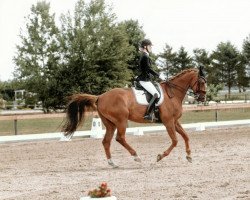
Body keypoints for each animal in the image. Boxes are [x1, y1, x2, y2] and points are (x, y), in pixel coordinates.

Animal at [61, 67, 206, 167]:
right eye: (201, 81)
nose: (203, 98)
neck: (173, 94)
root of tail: (100, 96)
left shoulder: (175, 121)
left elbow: (186, 136)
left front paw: (189, 156)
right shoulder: (168, 122)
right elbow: (175, 141)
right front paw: (160, 156)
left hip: (110, 124)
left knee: (106, 141)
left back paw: (112, 163)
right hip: (121, 120)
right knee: (120, 138)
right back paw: (136, 156)